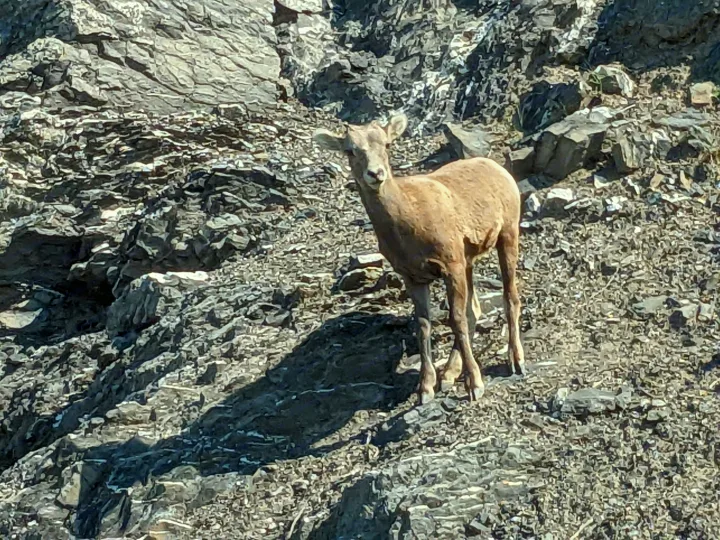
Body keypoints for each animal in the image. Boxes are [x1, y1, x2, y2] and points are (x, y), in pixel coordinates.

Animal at [313, 113, 526, 404]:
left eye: (387, 144)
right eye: (350, 150)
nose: (375, 174)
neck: (408, 219)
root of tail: (497, 169)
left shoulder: (451, 267)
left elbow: (456, 319)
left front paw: (474, 385)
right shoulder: (414, 277)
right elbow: (424, 326)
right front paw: (425, 389)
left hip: (507, 237)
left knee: (509, 298)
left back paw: (516, 361)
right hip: (469, 262)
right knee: (475, 309)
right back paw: (449, 374)